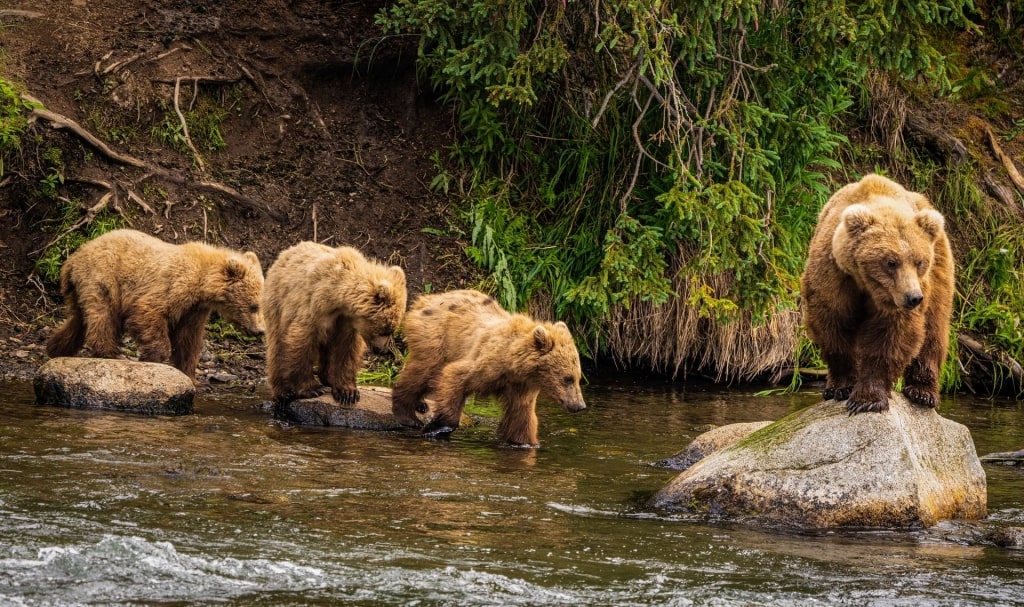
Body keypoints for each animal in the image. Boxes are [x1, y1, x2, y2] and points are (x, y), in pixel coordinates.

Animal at [47, 227, 264, 378]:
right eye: (254, 306)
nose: (261, 331)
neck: (203, 282)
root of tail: (73, 258)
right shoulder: (173, 287)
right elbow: (148, 312)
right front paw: (154, 357)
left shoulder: (194, 310)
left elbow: (188, 339)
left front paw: (188, 372)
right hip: (103, 278)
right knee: (102, 317)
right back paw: (109, 353)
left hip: (80, 289)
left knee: (78, 321)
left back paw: (55, 348)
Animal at [262, 240, 405, 403]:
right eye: (385, 328)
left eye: (392, 328)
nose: (384, 350)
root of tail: (284, 253)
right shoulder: (313, 307)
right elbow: (301, 342)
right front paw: (312, 389)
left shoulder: (346, 323)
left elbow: (346, 350)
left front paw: (347, 392)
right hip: (276, 303)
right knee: (277, 345)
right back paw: (283, 392)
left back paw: (327, 378)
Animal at [389, 288, 585, 444]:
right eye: (568, 378)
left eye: (578, 377)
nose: (580, 405)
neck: (514, 365)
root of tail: (427, 299)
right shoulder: (486, 364)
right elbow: (455, 376)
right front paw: (437, 428)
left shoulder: (521, 387)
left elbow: (521, 418)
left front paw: (525, 443)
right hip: (436, 339)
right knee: (422, 371)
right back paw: (408, 415)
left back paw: (420, 404)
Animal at [794, 172, 954, 413]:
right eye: (891, 262)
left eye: (919, 261)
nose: (913, 298)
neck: (866, 284)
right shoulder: (834, 275)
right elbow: (833, 326)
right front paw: (843, 387)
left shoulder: (896, 300)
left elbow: (890, 337)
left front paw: (866, 399)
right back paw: (830, 388)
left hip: (939, 271)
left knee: (934, 327)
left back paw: (922, 393)